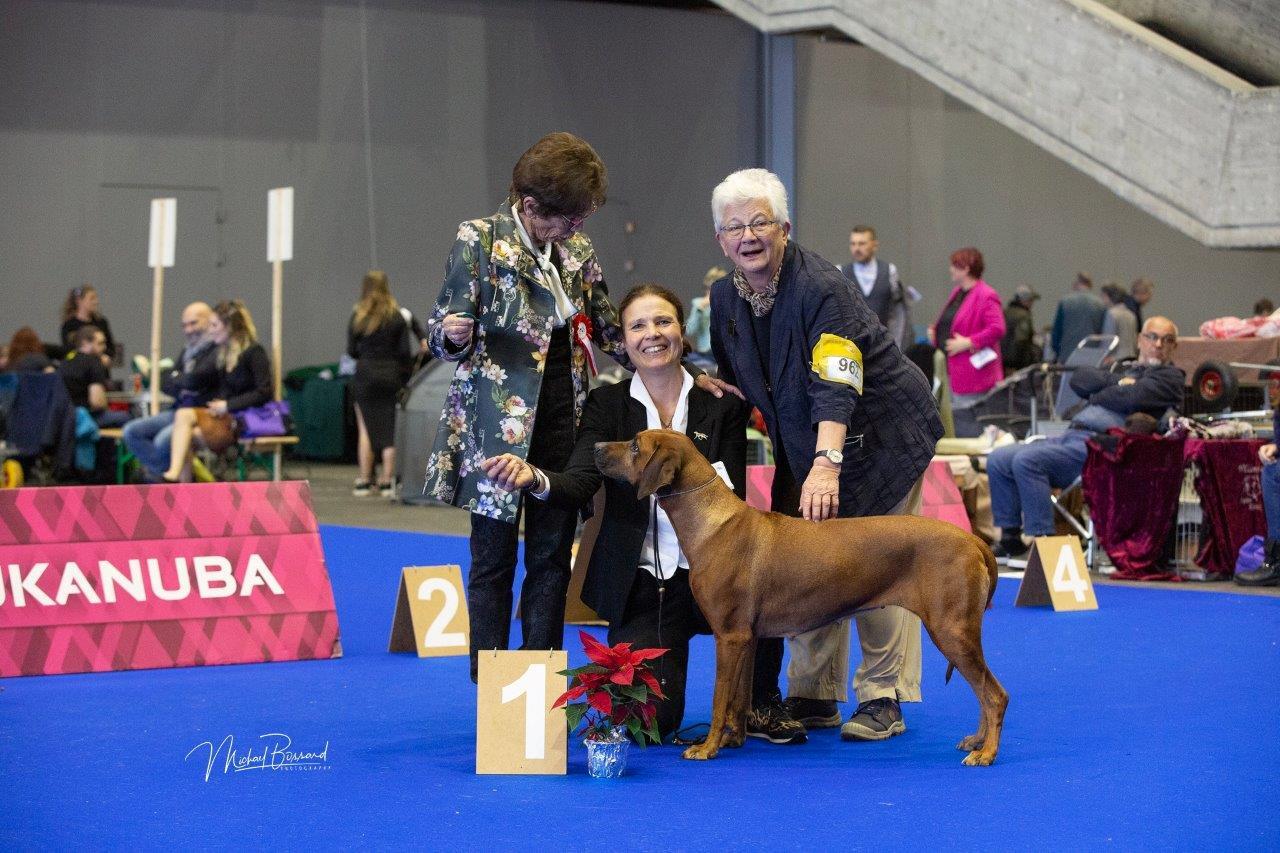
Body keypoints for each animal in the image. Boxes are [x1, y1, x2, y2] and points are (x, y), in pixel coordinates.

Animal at [593, 432, 1003, 763]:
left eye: (635, 445)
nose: (596, 447)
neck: (710, 522)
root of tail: (973, 539)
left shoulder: (729, 636)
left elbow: (719, 699)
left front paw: (706, 747)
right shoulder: (747, 637)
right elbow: (738, 699)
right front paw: (732, 740)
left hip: (950, 629)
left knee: (994, 695)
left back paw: (986, 753)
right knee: (984, 691)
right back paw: (976, 741)